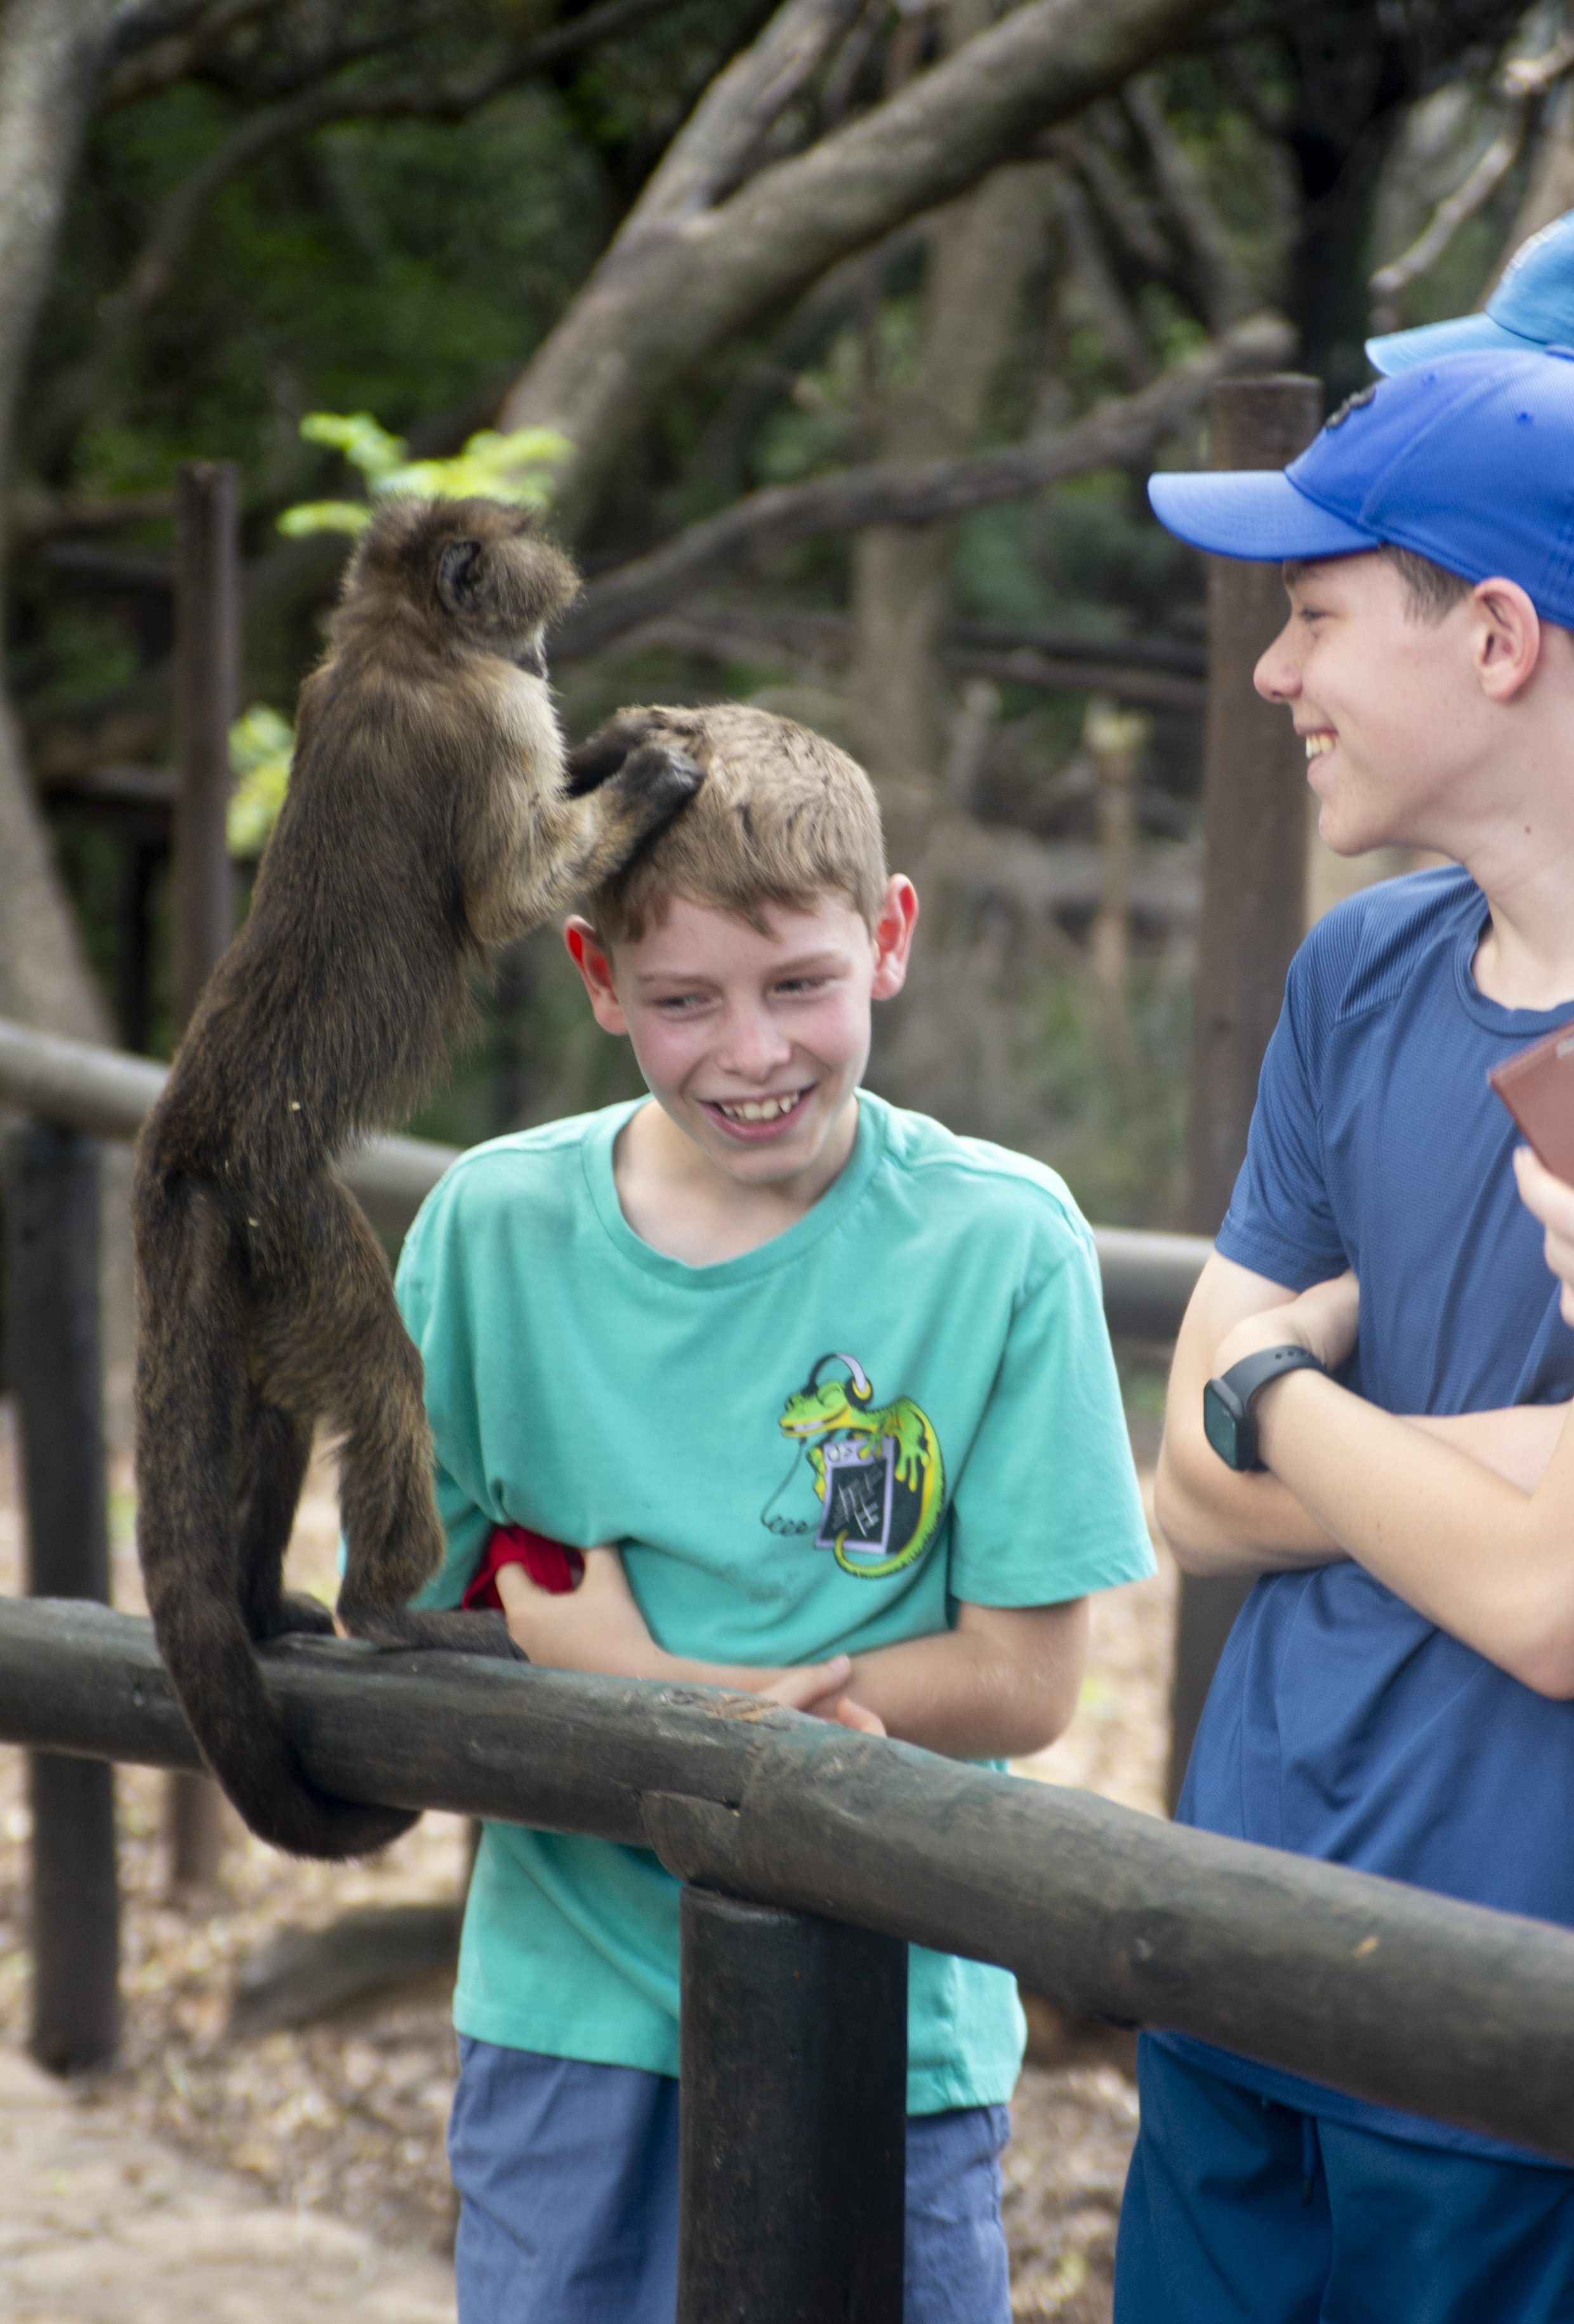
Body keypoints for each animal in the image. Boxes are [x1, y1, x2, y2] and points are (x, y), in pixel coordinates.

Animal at [132, 496, 702, 1863]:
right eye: (530, 631)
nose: (545, 659)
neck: (401, 637)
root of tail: (188, 1138)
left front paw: (615, 745)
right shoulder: (487, 717)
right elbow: (508, 895)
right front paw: (643, 777)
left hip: (258, 1245)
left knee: (278, 1403)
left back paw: (256, 1605)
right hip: (289, 1205)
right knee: (382, 1377)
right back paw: (384, 1610)